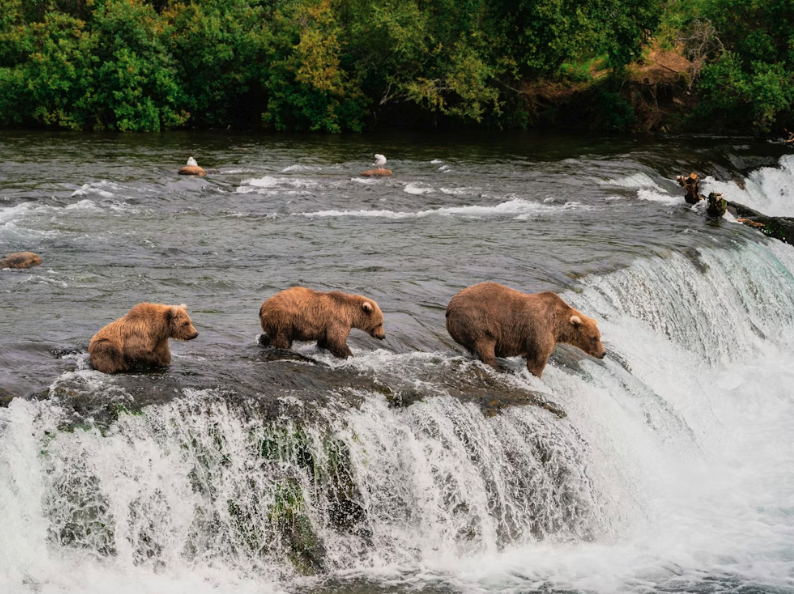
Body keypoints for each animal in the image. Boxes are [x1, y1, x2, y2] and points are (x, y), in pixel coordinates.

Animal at [445, 282, 605, 378]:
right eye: (594, 338)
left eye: (599, 336)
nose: (603, 353)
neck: (557, 326)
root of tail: (449, 307)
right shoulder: (540, 330)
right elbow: (538, 359)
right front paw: (536, 375)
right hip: (477, 321)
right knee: (485, 345)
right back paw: (498, 368)